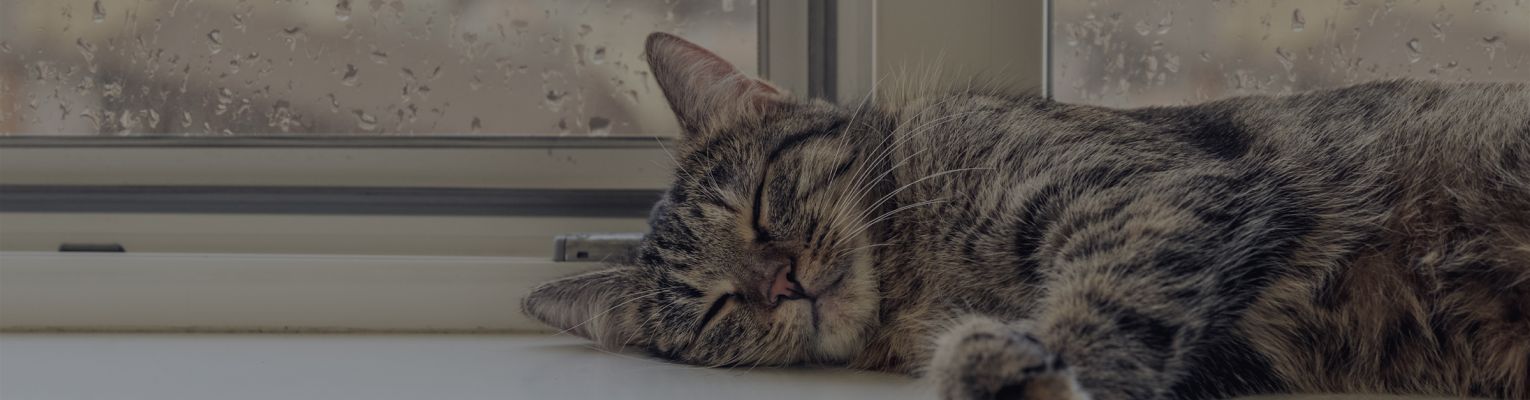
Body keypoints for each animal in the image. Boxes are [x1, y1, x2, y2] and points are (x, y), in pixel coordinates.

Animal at [523, 32, 1530, 395]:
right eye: (717, 309)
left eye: (765, 207)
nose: (781, 283)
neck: (914, 281)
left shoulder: (1146, 194)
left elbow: (1099, 299)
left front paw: (1013, 364)